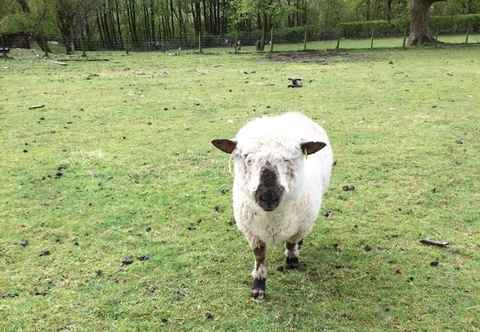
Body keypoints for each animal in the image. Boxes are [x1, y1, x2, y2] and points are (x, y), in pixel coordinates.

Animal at [212, 113, 332, 300]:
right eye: (247, 158)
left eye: (288, 159)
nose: (268, 197)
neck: (273, 217)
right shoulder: (252, 231)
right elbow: (260, 256)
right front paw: (258, 287)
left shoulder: (302, 225)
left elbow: (291, 242)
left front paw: (292, 261)